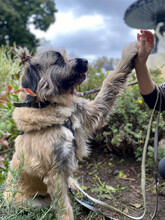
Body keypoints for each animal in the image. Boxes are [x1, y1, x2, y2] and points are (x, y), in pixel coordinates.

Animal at [3, 42, 138, 219]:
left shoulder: (86, 112)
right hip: (30, 202)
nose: (86, 61)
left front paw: (131, 51)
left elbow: (109, 83)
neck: (51, 105)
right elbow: (64, 207)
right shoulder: (55, 174)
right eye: (59, 60)